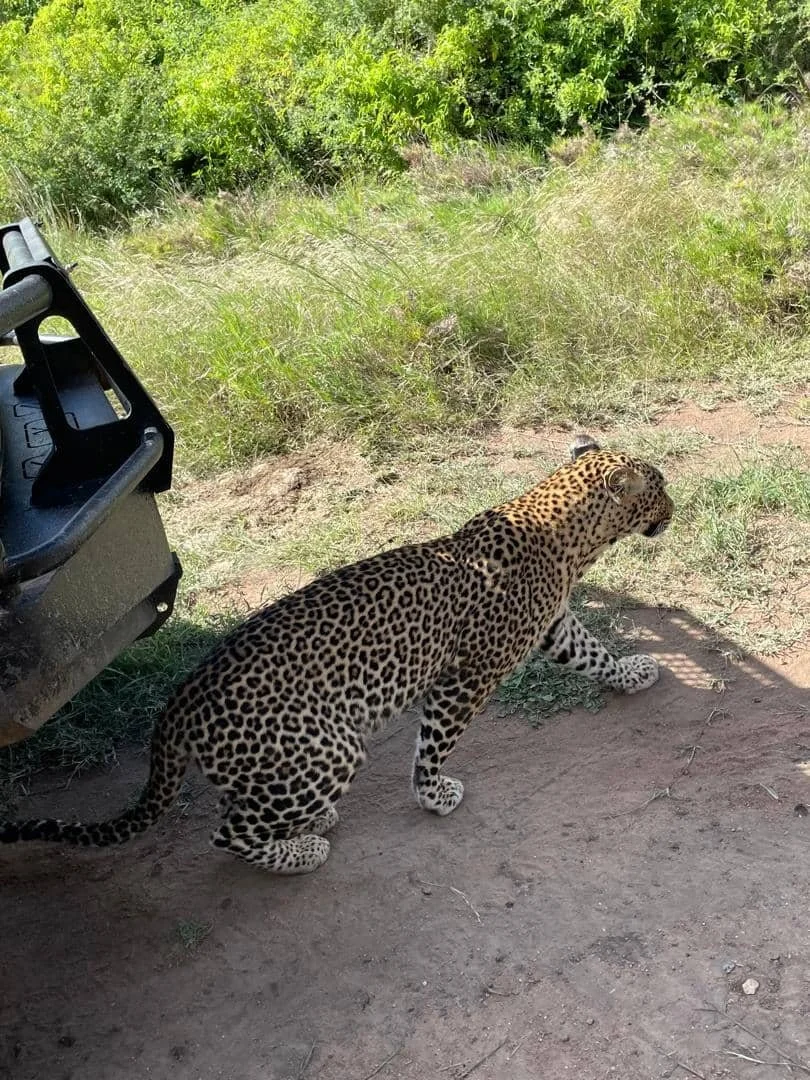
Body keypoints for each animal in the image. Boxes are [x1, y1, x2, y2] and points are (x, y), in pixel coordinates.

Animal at [0, 436, 673, 874]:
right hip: (330, 749)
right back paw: (304, 851)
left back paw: (308, 824)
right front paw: (434, 796)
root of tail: (179, 704)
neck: (568, 536)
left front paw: (633, 672)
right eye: (659, 488)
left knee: (240, 808)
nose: (676, 507)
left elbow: (594, 653)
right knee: (228, 834)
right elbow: (434, 744)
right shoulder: (467, 677)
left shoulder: (554, 626)